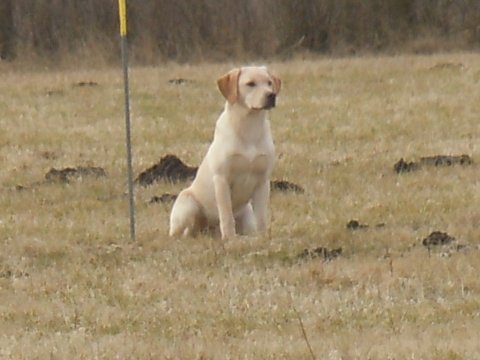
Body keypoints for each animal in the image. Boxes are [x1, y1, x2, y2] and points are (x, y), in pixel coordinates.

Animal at [170, 66, 280, 239]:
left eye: (269, 83)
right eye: (250, 83)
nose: (271, 95)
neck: (249, 129)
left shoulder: (263, 181)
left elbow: (262, 217)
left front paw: (263, 239)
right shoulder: (222, 179)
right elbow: (227, 215)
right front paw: (230, 239)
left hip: (247, 214)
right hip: (188, 204)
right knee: (180, 233)